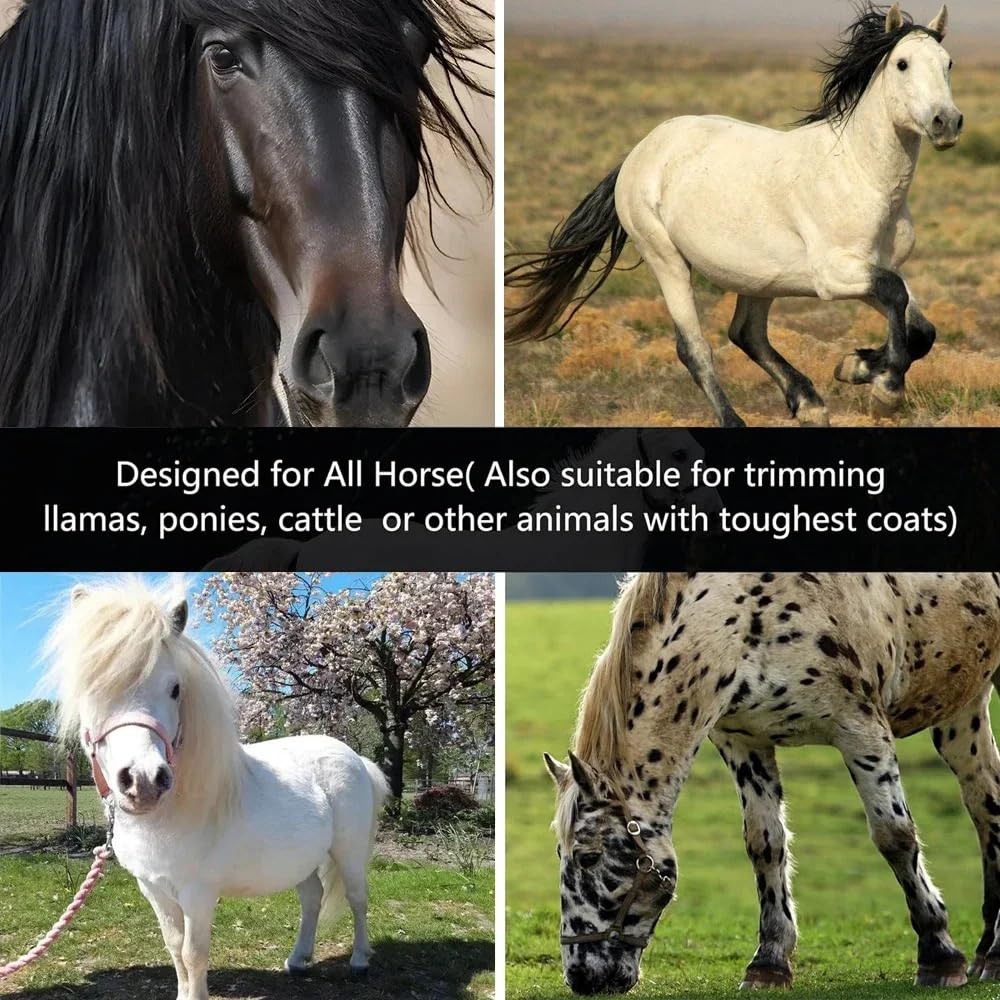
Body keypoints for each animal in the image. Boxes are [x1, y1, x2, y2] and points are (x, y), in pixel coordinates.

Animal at [41, 578, 389, 1000]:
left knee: (357, 899)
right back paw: (297, 960)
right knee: (311, 898)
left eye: (175, 689)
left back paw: (359, 961)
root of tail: (355, 758)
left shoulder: (198, 893)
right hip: (303, 858)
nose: (143, 781)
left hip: (348, 851)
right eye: (91, 690)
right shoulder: (154, 889)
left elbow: (194, 953)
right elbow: (174, 947)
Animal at [506, 3, 961, 427]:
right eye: (902, 63)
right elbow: (895, 295)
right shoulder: (833, 275)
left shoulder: (876, 266)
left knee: (747, 333)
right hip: (666, 260)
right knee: (694, 348)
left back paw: (810, 404)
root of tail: (640, 151)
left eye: (948, 63)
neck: (859, 175)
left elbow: (920, 329)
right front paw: (885, 389)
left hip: (761, 278)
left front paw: (855, 366)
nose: (947, 122)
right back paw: (738, 418)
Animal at [544, 572, 1000, 993]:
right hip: (963, 710)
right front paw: (769, 963)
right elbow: (765, 845)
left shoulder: (861, 729)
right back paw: (989, 953)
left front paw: (939, 954)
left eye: (588, 857)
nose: (581, 977)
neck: (746, 613)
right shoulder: (743, 741)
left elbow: (895, 836)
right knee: (985, 803)